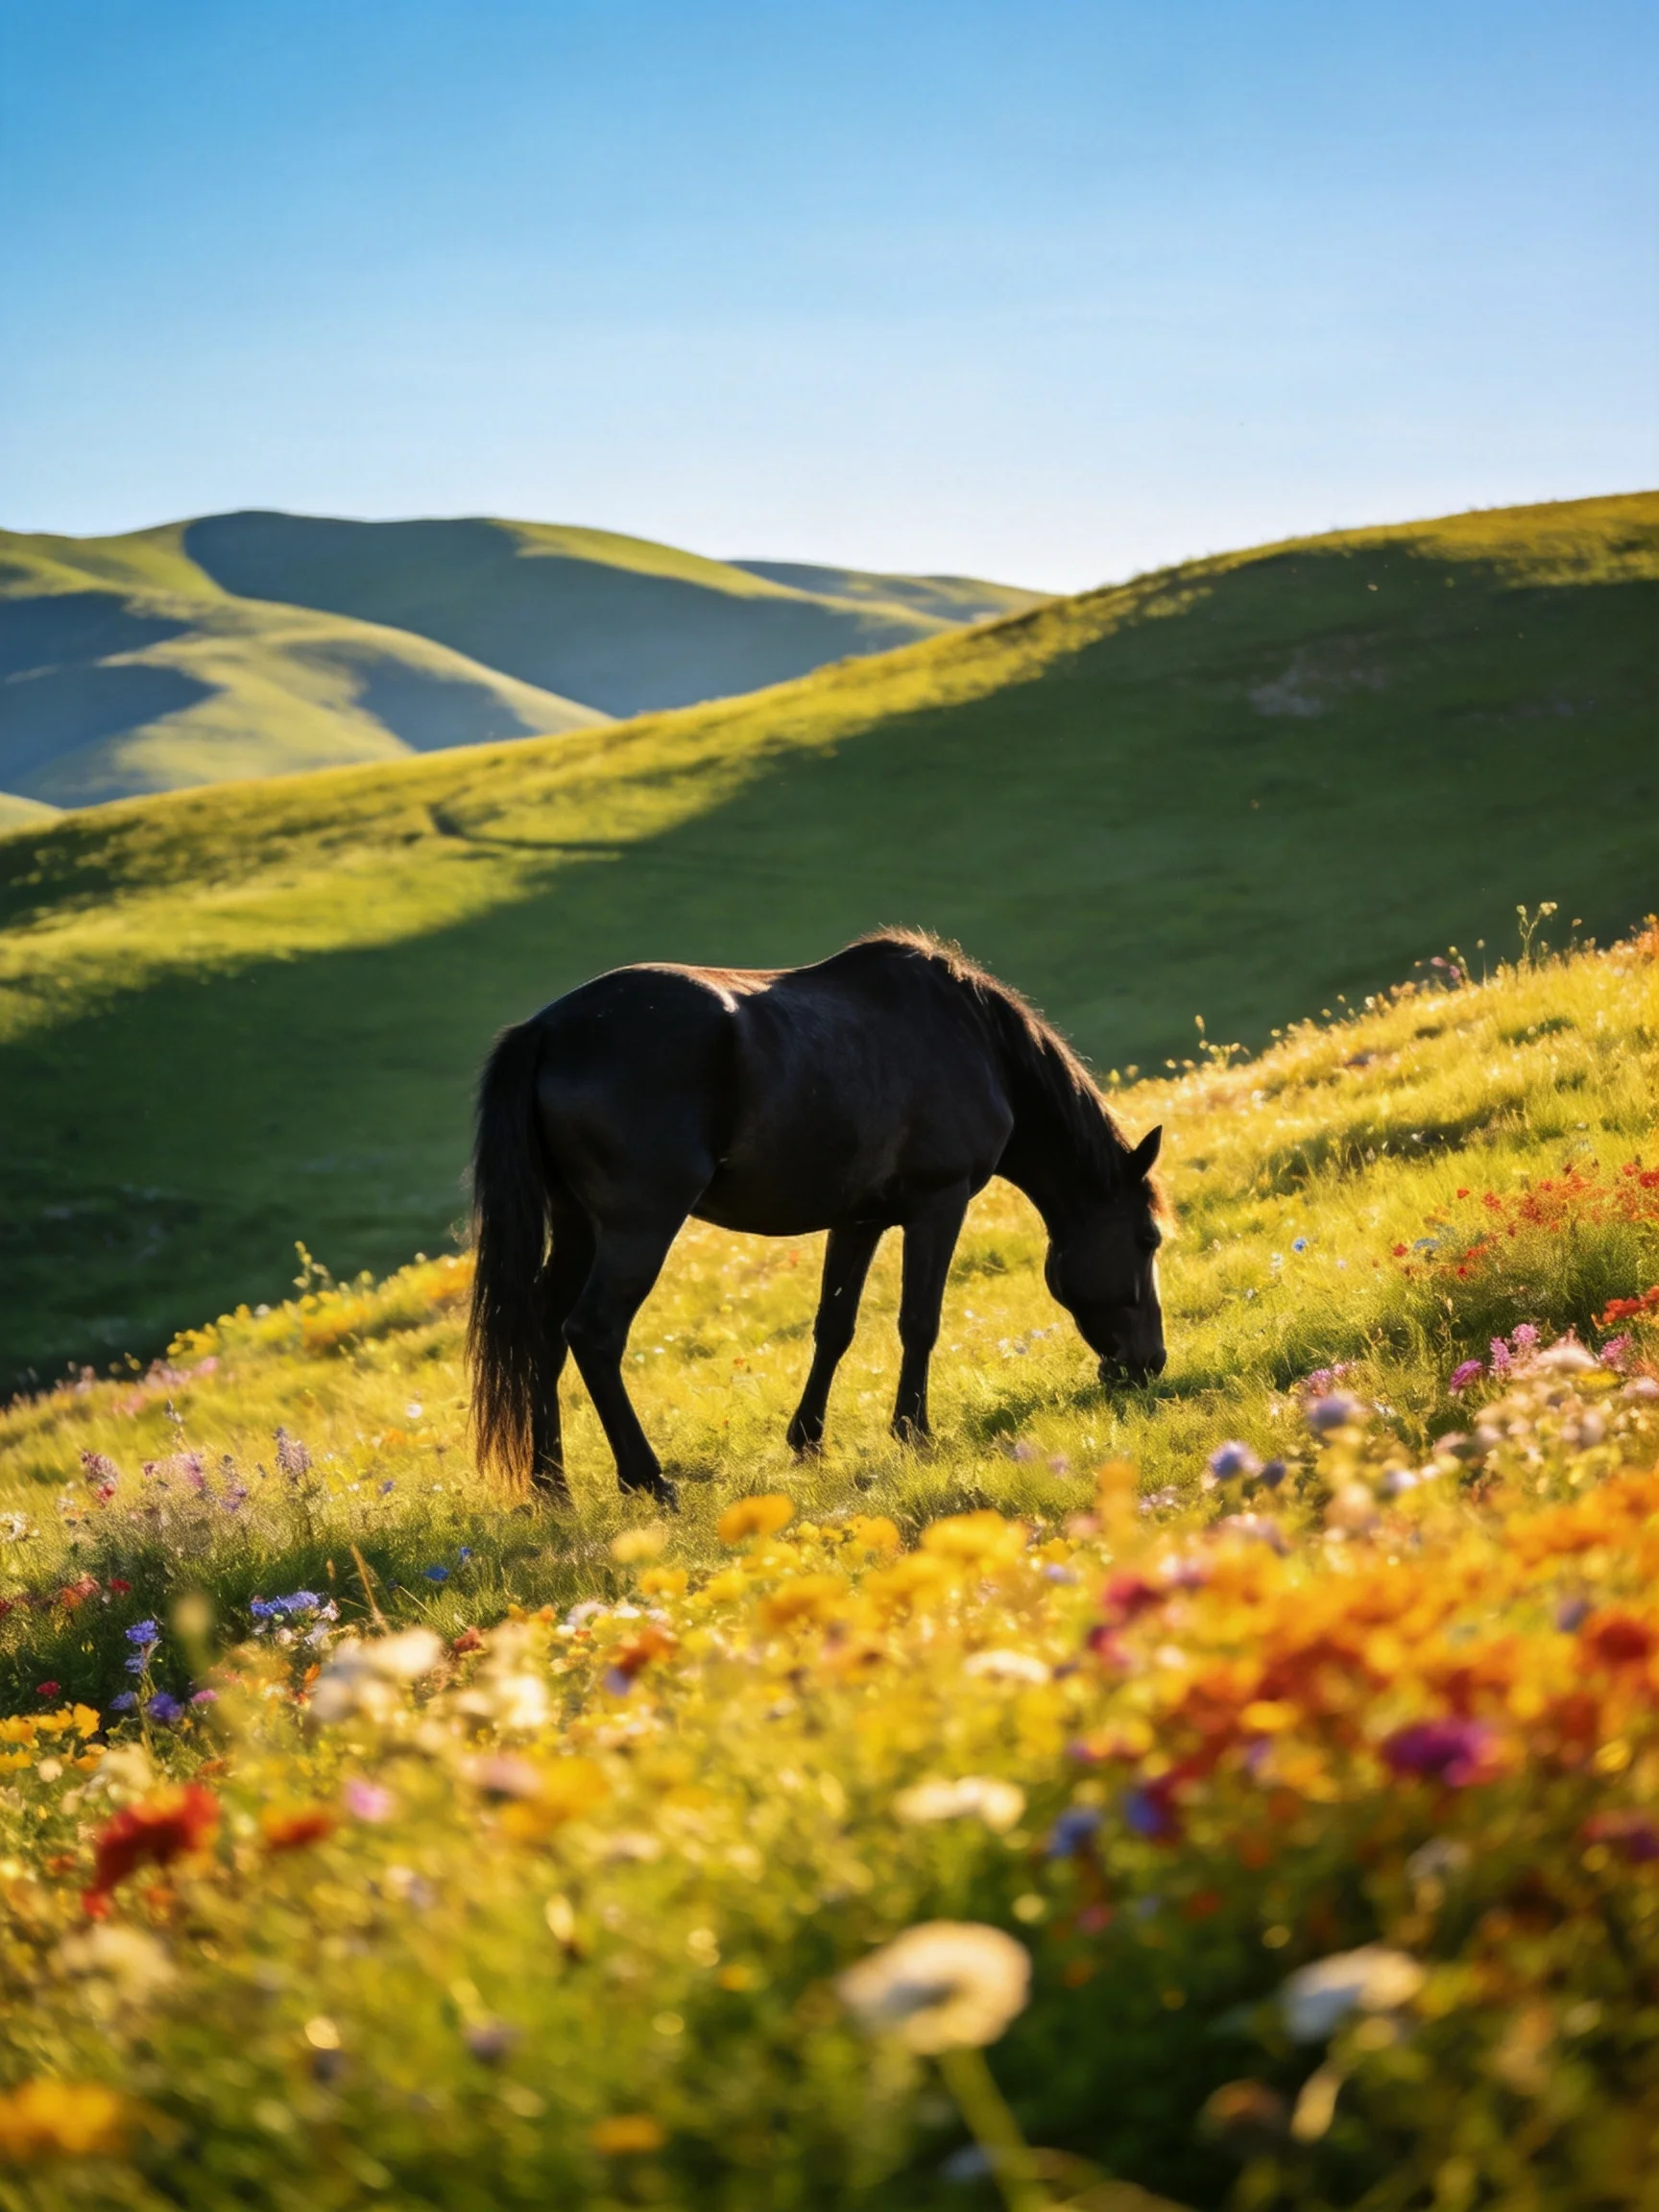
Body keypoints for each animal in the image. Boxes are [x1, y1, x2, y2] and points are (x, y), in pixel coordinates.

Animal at [467, 929, 1166, 1503]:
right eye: (1148, 1238)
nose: (1150, 1363)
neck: (974, 1040)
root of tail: (546, 1032)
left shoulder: (858, 1219)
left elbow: (835, 1327)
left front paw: (807, 1441)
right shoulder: (938, 1205)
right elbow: (920, 1323)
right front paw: (913, 1433)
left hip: (578, 1227)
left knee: (543, 1332)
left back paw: (551, 1487)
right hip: (638, 1229)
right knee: (593, 1332)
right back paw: (648, 1480)